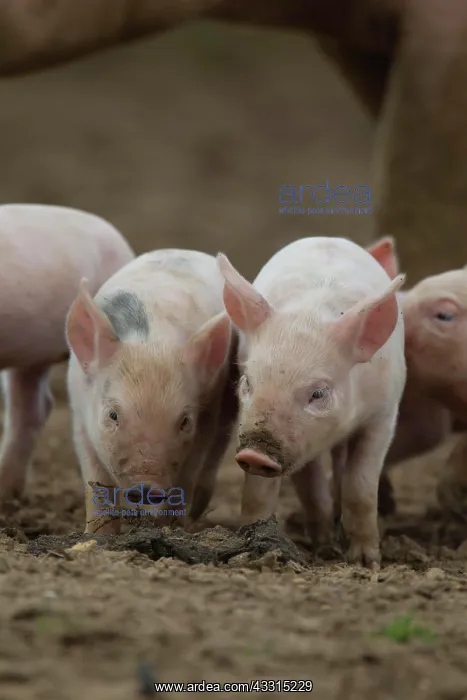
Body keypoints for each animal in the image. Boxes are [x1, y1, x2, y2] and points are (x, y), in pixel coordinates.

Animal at [66, 249, 238, 534]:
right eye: (112, 415)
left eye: (184, 422)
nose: (148, 486)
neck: (151, 341)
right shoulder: (80, 416)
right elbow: (96, 483)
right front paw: (98, 537)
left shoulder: (205, 416)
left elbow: (188, 475)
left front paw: (169, 528)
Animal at [217, 236, 406, 567]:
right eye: (248, 382)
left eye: (318, 394)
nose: (255, 454)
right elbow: (295, 488)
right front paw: (320, 549)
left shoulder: (383, 414)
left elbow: (361, 484)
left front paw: (365, 561)